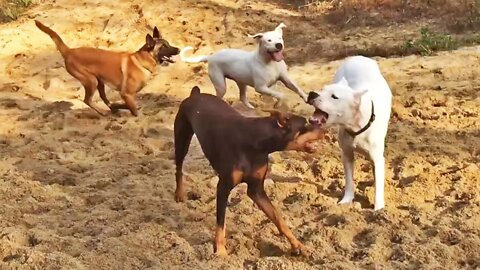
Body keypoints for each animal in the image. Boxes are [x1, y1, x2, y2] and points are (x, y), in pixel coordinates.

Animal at [34, 19, 180, 115]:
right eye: (164, 47)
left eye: (168, 43)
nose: (178, 50)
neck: (141, 61)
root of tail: (69, 51)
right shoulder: (126, 94)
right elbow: (135, 110)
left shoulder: (127, 95)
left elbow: (131, 105)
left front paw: (122, 106)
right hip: (91, 81)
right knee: (87, 100)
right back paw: (103, 112)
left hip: (99, 82)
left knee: (104, 99)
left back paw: (114, 107)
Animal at [174, 86, 324, 255]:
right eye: (304, 126)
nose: (325, 130)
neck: (256, 142)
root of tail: (196, 94)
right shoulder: (223, 188)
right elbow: (221, 223)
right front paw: (220, 252)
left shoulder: (256, 189)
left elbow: (278, 217)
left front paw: (298, 245)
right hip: (182, 138)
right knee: (178, 168)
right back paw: (179, 193)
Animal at [179, 22, 308, 108]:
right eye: (269, 40)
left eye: (280, 38)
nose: (279, 45)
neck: (270, 63)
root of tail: (211, 57)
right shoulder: (261, 88)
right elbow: (280, 94)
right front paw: (278, 103)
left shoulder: (286, 79)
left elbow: (297, 88)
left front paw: (307, 97)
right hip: (221, 85)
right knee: (220, 96)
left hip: (241, 83)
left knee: (242, 97)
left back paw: (250, 107)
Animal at [308, 55, 394, 211]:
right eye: (323, 89)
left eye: (334, 97)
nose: (312, 94)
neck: (356, 126)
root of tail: (358, 57)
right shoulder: (346, 154)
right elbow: (348, 180)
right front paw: (346, 201)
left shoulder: (378, 159)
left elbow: (378, 185)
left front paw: (378, 210)